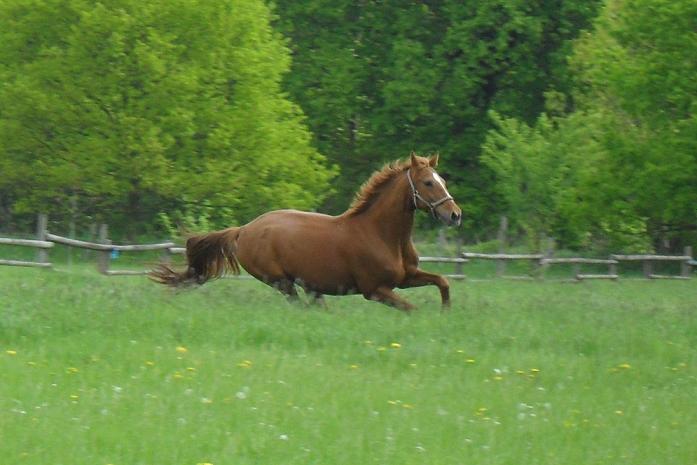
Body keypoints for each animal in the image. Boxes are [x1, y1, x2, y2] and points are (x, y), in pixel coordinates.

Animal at [150, 153, 460, 312]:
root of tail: (244, 230)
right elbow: (412, 309)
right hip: (281, 281)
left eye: (442, 180)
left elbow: (443, 282)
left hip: (307, 285)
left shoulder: (406, 278)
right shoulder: (376, 290)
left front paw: (446, 313)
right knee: (300, 306)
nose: (455, 215)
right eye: (428, 182)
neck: (381, 235)